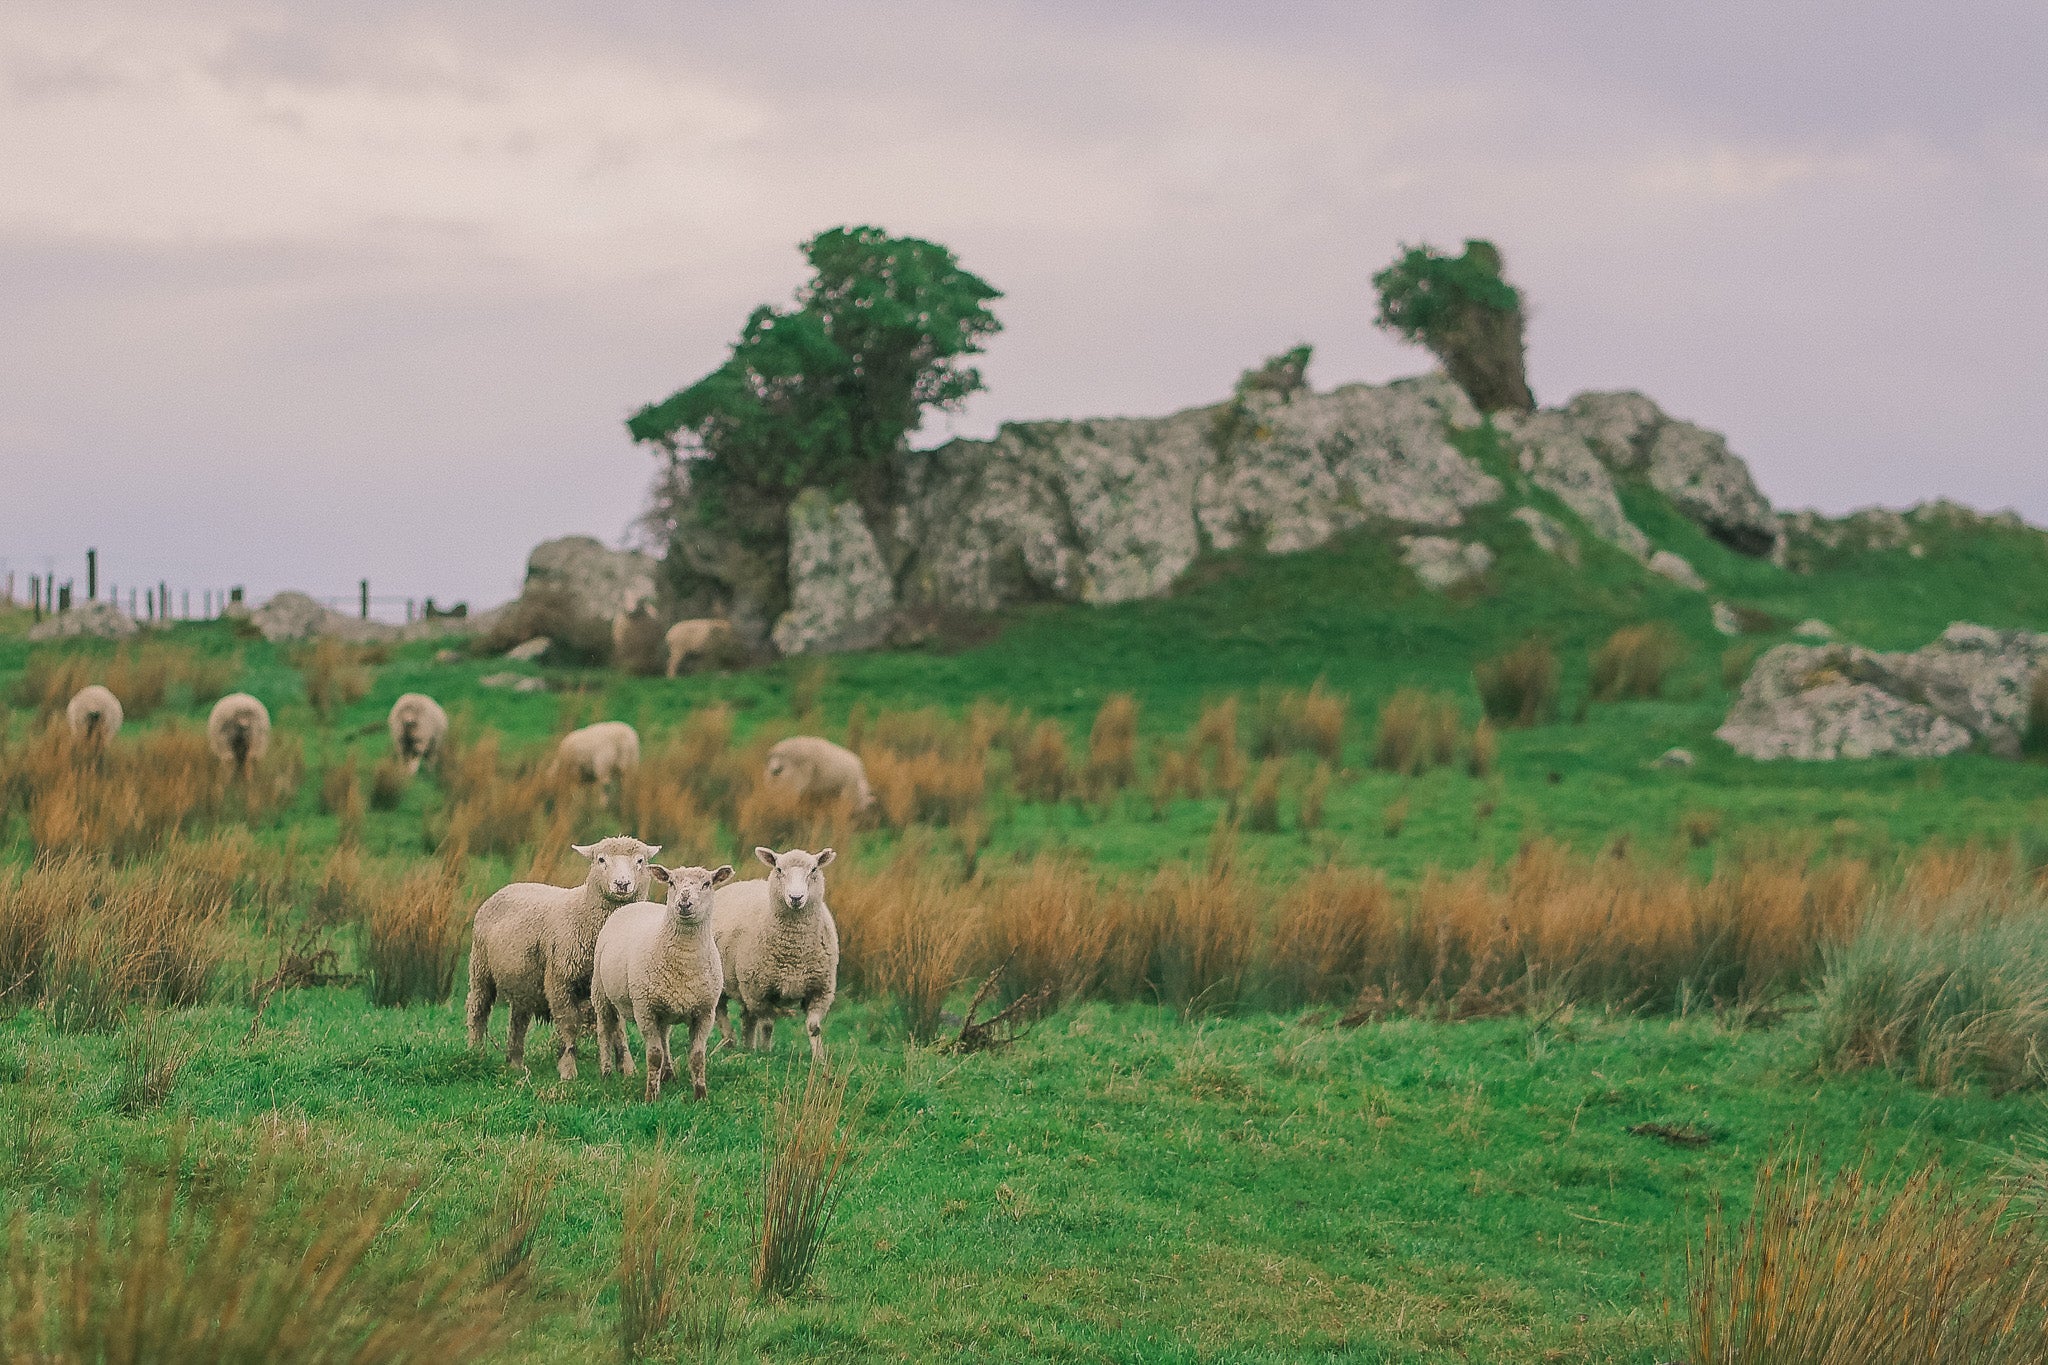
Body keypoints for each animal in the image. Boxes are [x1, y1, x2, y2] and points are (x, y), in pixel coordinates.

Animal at [464, 834, 655, 1080]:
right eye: (601, 859)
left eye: (640, 860)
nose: (622, 884)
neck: (584, 913)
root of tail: (510, 886)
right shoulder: (559, 980)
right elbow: (569, 1024)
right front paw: (567, 1069)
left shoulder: (609, 984)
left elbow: (618, 1028)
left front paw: (628, 1069)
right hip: (480, 968)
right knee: (478, 1010)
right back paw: (475, 1053)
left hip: (523, 981)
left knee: (518, 1020)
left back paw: (515, 1063)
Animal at [593, 859, 737, 1105]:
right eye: (671, 882)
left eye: (707, 884)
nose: (684, 903)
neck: (684, 960)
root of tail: (634, 905)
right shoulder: (645, 1010)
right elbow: (654, 1055)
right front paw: (651, 1096)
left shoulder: (705, 1012)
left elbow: (697, 1056)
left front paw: (700, 1096)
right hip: (601, 992)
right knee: (604, 1030)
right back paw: (606, 1072)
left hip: (663, 1004)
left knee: (665, 1036)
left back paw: (668, 1074)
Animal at [716, 843, 835, 1064]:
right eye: (779, 869)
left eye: (814, 869)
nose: (796, 898)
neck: (795, 952)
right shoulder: (759, 992)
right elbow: (767, 1024)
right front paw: (765, 1053)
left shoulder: (821, 990)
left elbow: (814, 1028)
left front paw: (819, 1060)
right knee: (721, 1012)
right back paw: (730, 1042)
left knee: (747, 1017)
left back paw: (747, 1046)